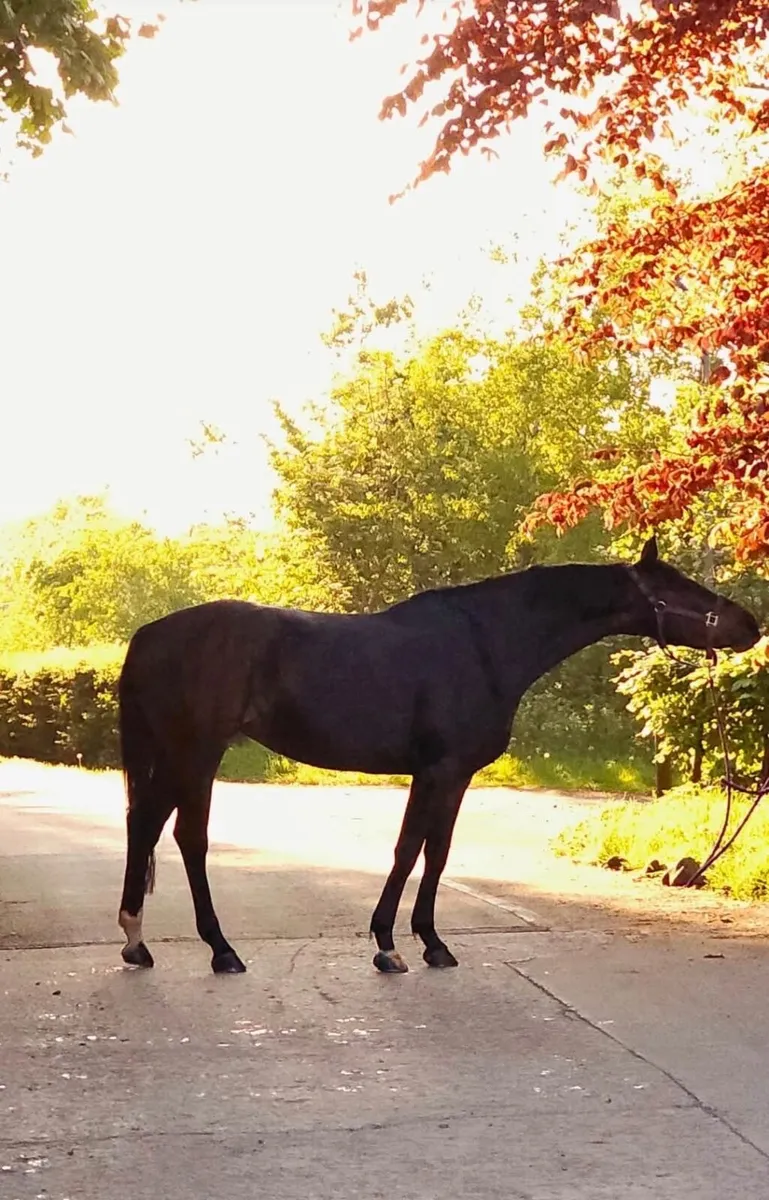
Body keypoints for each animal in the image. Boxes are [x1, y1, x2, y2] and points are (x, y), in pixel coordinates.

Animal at [116, 536, 759, 975]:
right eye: (676, 588)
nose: (750, 624)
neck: (486, 643)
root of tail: (148, 635)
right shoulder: (439, 769)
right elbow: (410, 851)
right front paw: (390, 946)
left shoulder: (451, 775)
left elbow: (436, 851)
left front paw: (429, 942)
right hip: (197, 754)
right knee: (185, 837)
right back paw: (219, 950)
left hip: (177, 756)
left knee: (145, 825)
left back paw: (137, 942)